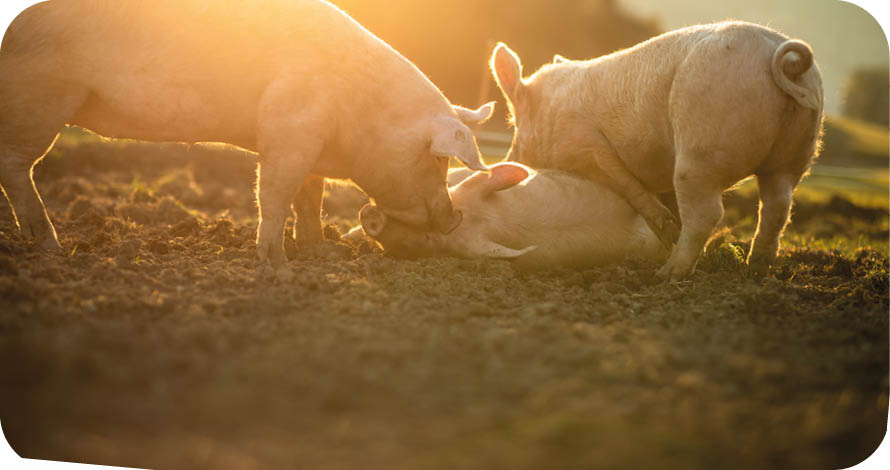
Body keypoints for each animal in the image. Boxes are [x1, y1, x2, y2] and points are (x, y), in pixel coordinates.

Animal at [0, 0, 491, 265]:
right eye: (439, 159)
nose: (454, 217)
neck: (363, 110)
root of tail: (12, 32)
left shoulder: (310, 140)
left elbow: (309, 199)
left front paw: (322, 254)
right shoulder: (288, 126)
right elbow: (274, 193)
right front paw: (276, 266)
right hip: (43, 98)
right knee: (15, 166)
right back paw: (51, 246)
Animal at [489, 21, 824, 280]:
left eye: (513, 126)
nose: (508, 161)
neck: (547, 114)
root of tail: (777, 55)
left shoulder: (586, 144)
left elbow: (621, 178)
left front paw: (667, 232)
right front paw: (666, 234)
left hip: (700, 150)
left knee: (707, 213)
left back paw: (668, 273)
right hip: (794, 153)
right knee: (777, 208)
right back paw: (754, 270)